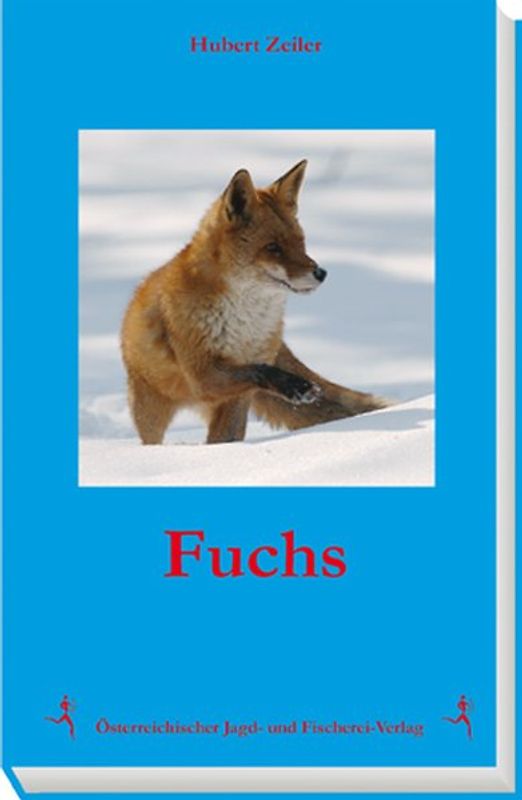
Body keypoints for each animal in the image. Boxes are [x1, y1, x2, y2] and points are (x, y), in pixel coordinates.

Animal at [121, 160, 386, 445]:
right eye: (273, 248)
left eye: (301, 242)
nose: (321, 273)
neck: (244, 324)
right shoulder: (203, 375)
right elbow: (259, 371)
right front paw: (293, 386)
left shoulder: (240, 390)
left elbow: (237, 416)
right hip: (149, 408)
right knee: (151, 439)